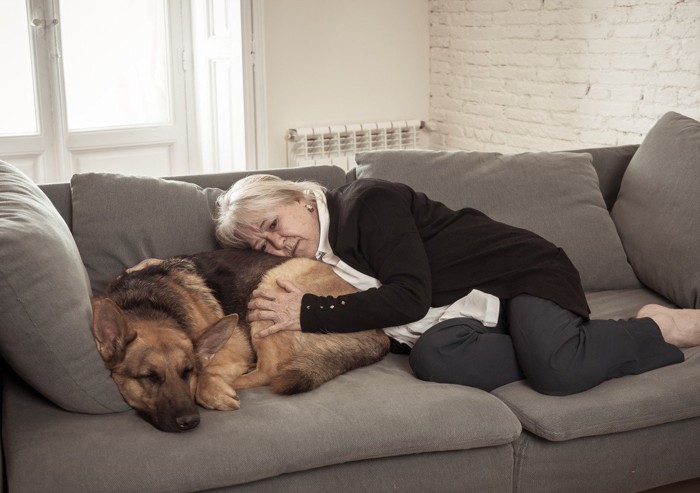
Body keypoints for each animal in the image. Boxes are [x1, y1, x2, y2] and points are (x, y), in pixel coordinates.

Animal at [90, 250, 392, 430]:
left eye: (187, 372)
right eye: (148, 378)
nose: (191, 421)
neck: (147, 304)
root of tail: (380, 333)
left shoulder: (232, 347)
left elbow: (205, 373)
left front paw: (211, 388)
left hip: (271, 285)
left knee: (270, 371)